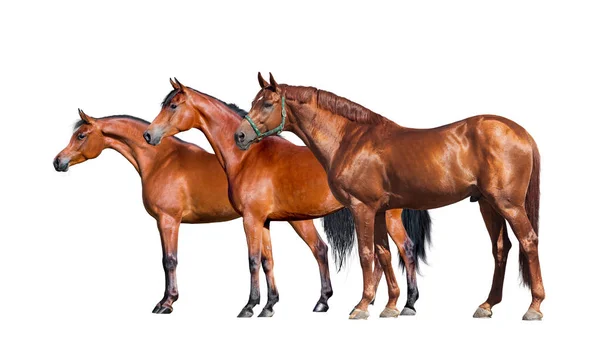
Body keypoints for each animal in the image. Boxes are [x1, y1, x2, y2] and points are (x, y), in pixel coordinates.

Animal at [55, 110, 376, 314]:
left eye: (81, 135)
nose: (58, 161)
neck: (160, 159)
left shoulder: (168, 221)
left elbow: (169, 261)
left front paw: (166, 303)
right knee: (318, 251)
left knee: (324, 250)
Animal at [144, 79, 434, 316]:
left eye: (173, 105)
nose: (149, 134)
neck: (248, 158)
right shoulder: (264, 220)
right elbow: (267, 261)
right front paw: (268, 306)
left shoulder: (250, 219)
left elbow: (252, 261)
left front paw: (249, 306)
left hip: (381, 215)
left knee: (403, 249)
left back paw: (403, 303)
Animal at [234, 72, 544, 320]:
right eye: (254, 101)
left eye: (267, 103)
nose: (240, 136)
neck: (350, 139)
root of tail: (521, 133)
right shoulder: (380, 210)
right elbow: (383, 254)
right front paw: (391, 306)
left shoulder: (362, 208)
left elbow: (366, 254)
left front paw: (361, 306)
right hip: (488, 205)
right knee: (501, 248)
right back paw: (487, 305)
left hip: (508, 205)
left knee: (529, 241)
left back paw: (534, 307)